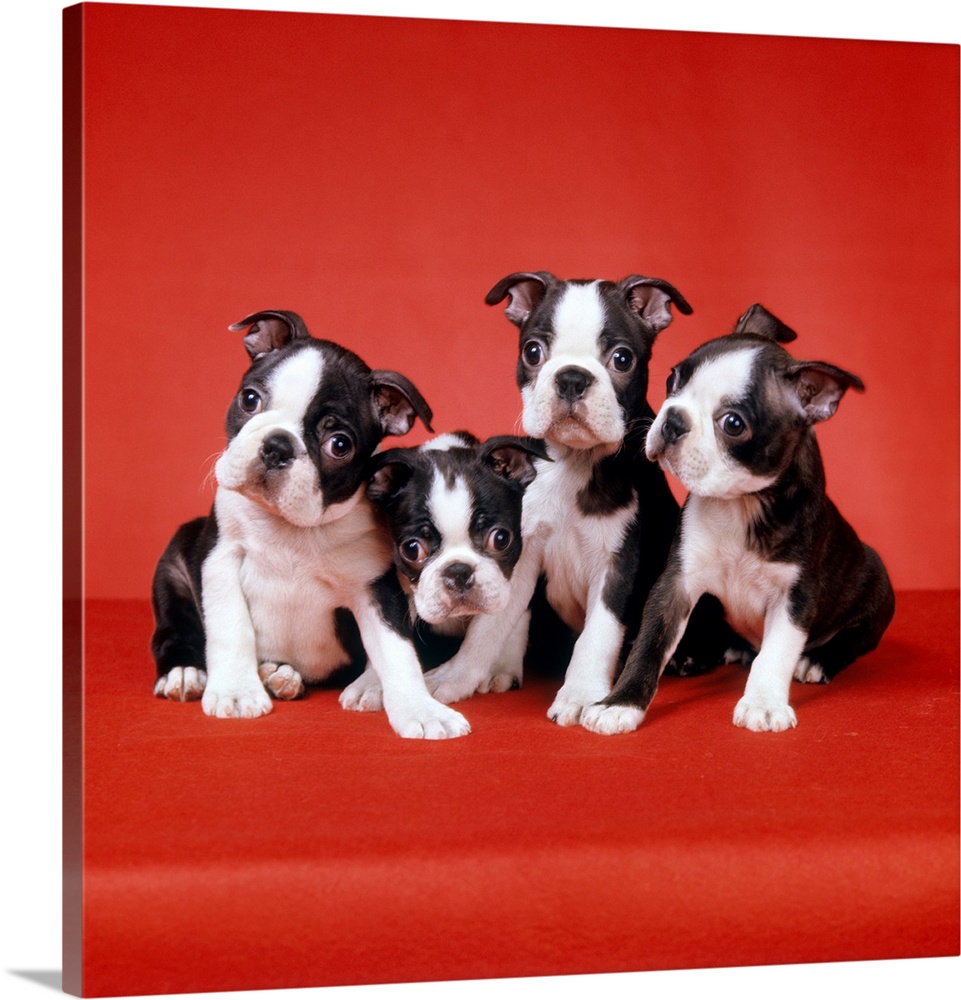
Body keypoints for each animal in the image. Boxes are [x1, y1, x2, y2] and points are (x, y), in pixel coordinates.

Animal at [149, 312, 472, 744]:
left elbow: (397, 651)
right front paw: (236, 691)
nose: (277, 446)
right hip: (175, 564)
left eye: (339, 444)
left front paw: (420, 710)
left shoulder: (376, 589)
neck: (290, 527)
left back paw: (280, 675)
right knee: (173, 628)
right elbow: (231, 627)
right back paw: (186, 672)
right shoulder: (220, 560)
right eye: (250, 399)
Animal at [338, 432, 548, 712]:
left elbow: (504, 622)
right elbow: (389, 635)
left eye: (501, 538)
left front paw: (501, 664)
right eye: (412, 549)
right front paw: (372, 681)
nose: (458, 571)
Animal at [416, 274, 724, 724]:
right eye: (533, 351)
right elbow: (487, 627)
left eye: (622, 359)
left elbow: (599, 632)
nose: (572, 378)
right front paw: (457, 676)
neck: (575, 463)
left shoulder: (619, 565)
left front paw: (580, 693)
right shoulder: (519, 554)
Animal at [580, 304, 896, 736]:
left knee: (852, 641)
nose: (673, 421)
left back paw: (818, 661)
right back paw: (696, 656)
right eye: (673, 379)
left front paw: (763, 703)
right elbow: (648, 644)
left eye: (732, 424)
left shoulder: (795, 596)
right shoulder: (676, 583)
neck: (741, 503)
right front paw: (620, 704)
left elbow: (776, 652)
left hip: (877, 584)